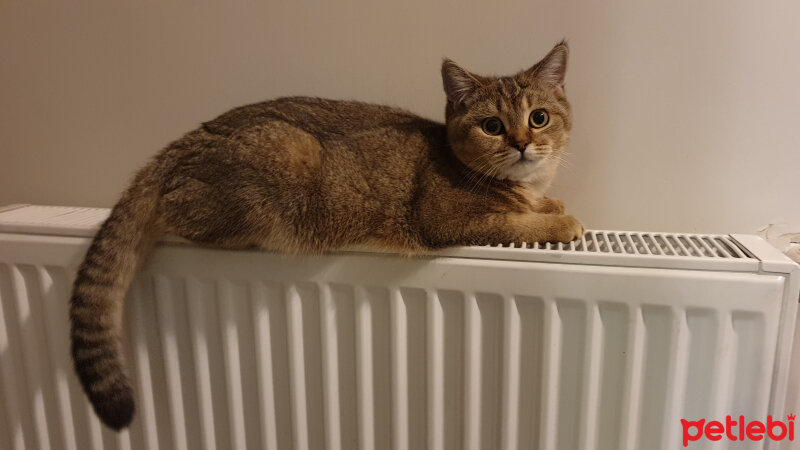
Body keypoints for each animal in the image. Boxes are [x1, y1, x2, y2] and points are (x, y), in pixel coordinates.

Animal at [70, 40, 580, 430]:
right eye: (492, 125)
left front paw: (550, 204)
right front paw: (562, 220)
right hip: (280, 167)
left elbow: (534, 204)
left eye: (538, 117)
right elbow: (512, 220)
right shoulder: (446, 216)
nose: (522, 143)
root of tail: (179, 144)